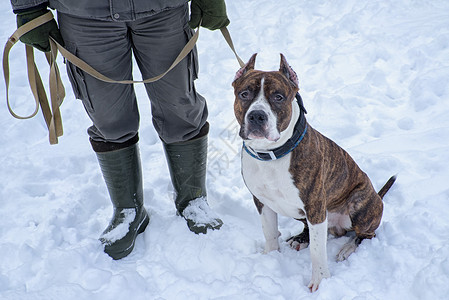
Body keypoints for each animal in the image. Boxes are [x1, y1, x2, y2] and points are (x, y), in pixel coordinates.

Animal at [231, 53, 396, 290]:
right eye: (244, 94)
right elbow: (269, 232)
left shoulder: (316, 206)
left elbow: (318, 252)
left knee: (366, 234)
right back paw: (300, 239)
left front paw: (321, 281)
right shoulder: (262, 201)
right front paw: (270, 258)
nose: (257, 116)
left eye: (278, 97)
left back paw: (346, 249)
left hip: (359, 205)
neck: (272, 154)